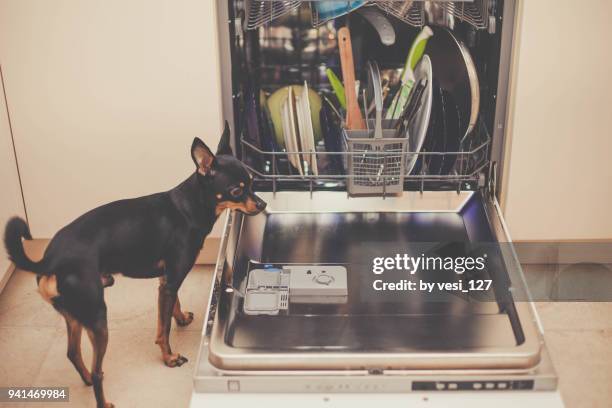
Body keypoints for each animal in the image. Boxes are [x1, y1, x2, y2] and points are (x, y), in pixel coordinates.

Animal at [2, 122, 266, 406]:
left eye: (253, 183)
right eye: (237, 190)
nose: (263, 203)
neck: (189, 207)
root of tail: (49, 260)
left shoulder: (166, 281)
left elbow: (172, 307)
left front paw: (181, 318)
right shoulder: (172, 279)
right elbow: (163, 329)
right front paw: (169, 358)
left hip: (75, 315)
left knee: (73, 353)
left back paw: (85, 379)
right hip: (97, 317)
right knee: (97, 370)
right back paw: (102, 399)